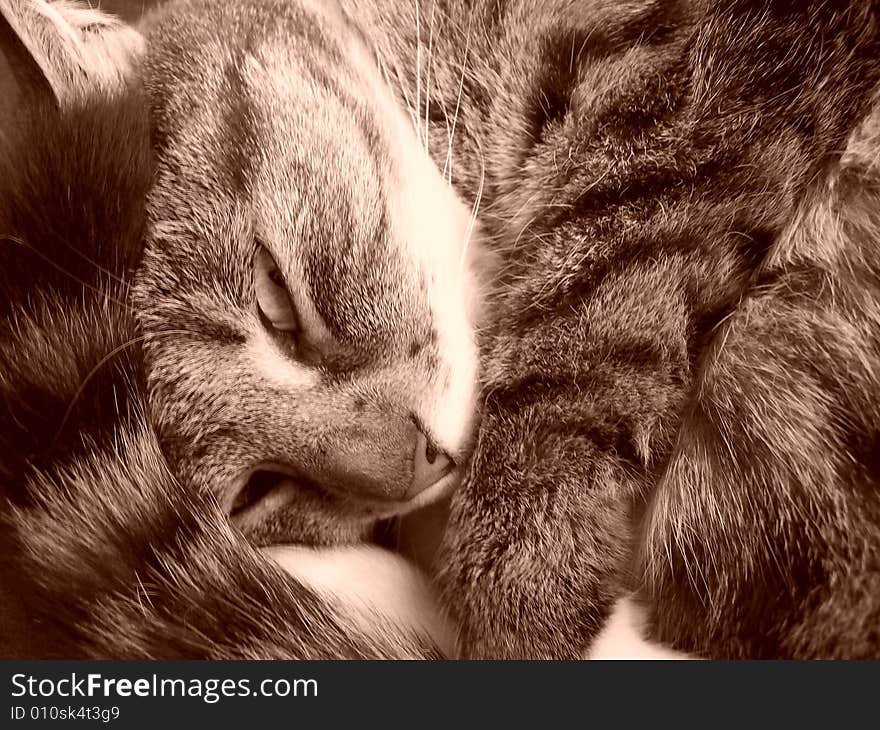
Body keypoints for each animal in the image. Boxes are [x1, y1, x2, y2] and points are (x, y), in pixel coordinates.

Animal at [1, 0, 880, 656]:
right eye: (253, 490)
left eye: (277, 301)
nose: (417, 462)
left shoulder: (692, 89)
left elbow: (592, 293)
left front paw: (523, 575)